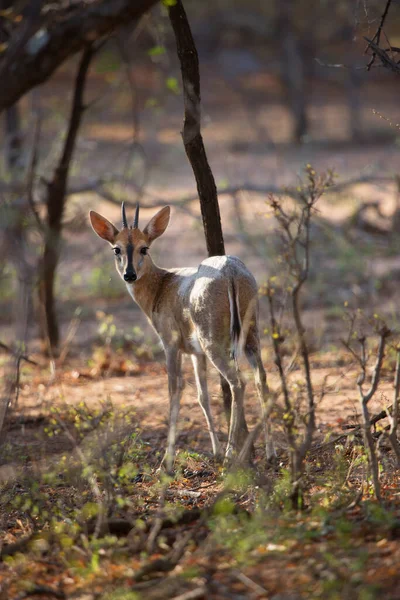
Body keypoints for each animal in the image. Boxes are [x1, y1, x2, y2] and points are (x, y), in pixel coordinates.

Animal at [90, 204, 272, 472]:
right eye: (117, 248)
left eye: (144, 247)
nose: (129, 275)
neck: (161, 287)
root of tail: (230, 270)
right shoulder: (195, 353)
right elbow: (202, 396)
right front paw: (215, 452)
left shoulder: (171, 345)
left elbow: (174, 392)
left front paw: (166, 462)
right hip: (250, 335)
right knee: (261, 378)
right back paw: (270, 452)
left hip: (213, 341)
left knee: (238, 382)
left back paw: (232, 455)